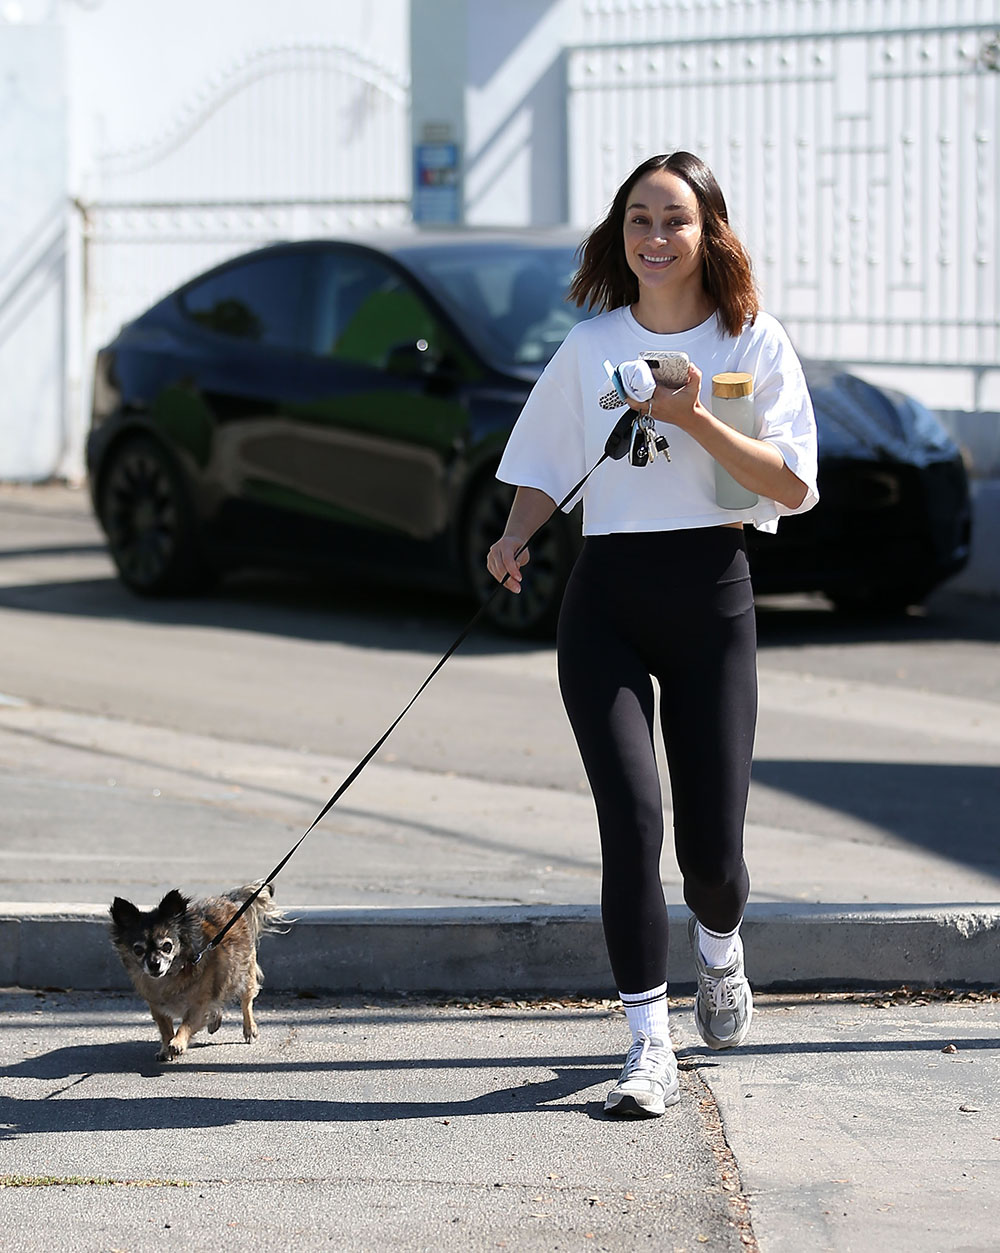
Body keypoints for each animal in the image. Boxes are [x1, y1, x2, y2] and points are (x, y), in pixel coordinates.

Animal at [109, 882, 285, 1057]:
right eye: (138, 950)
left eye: (167, 946)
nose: (154, 964)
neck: (172, 975)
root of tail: (227, 900)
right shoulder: (158, 1008)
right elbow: (165, 1029)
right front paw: (166, 1048)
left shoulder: (198, 1006)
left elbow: (186, 1024)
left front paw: (178, 1042)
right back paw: (215, 1021)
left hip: (243, 976)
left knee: (246, 1003)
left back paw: (249, 1029)